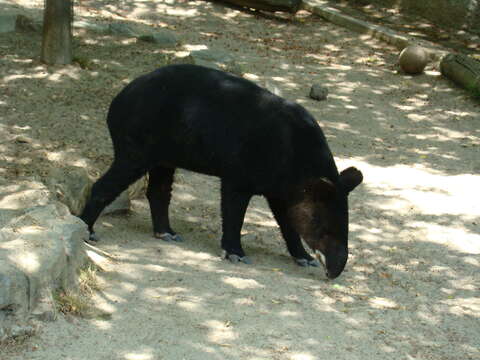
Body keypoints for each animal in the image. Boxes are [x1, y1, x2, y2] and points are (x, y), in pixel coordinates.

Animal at [80, 64, 362, 278]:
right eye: (323, 225)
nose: (336, 270)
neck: (297, 159)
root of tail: (119, 97)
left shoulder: (280, 188)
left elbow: (288, 222)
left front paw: (303, 258)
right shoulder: (239, 176)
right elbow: (234, 214)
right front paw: (235, 254)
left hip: (164, 153)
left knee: (159, 189)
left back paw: (167, 233)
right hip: (137, 145)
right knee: (107, 184)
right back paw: (87, 230)